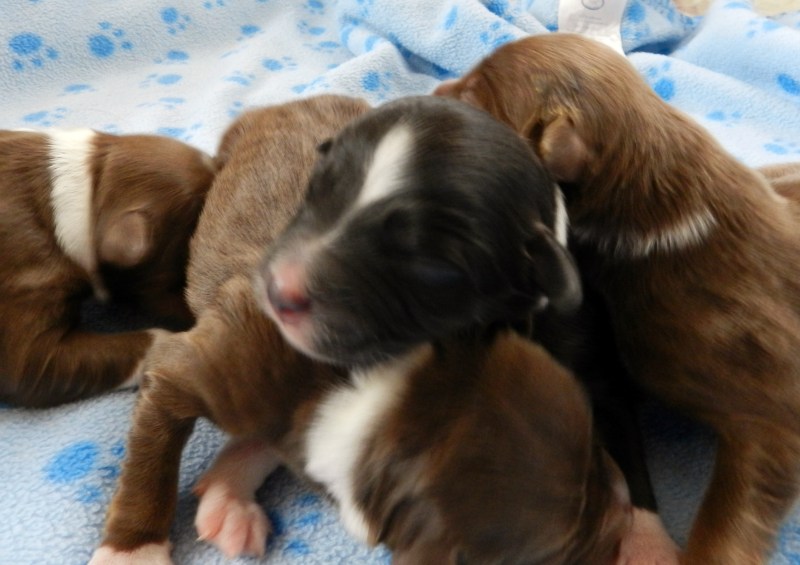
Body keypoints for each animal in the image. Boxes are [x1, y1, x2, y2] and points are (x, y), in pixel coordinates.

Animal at [89, 95, 631, 565]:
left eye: (433, 267)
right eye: (312, 192)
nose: (279, 290)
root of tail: (284, 104)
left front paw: (231, 482)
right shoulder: (210, 361)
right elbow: (152, 457)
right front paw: (132, 551)